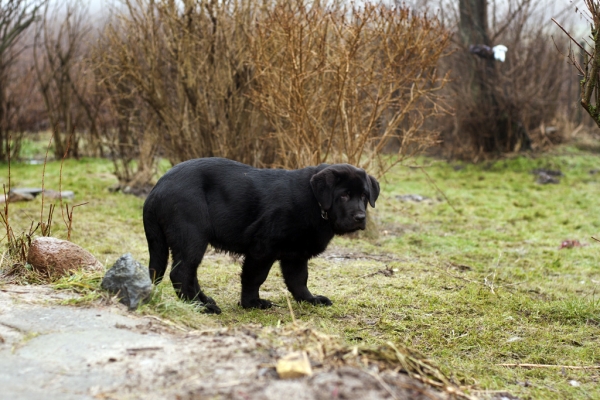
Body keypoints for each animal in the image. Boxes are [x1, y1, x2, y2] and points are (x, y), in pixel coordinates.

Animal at [142, 158, 380, 314]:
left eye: (364, 196)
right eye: (344, 195)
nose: (360, 217)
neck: (315, 201)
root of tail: (156, 189)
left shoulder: (296, 254)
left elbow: (298, 279)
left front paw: (310, 299)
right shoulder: (262, 248)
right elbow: (254, 278)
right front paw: (251, 303)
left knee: (189, 273)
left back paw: (204, 301)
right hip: (192, 235)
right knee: (181, 272)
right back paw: (200, 306)